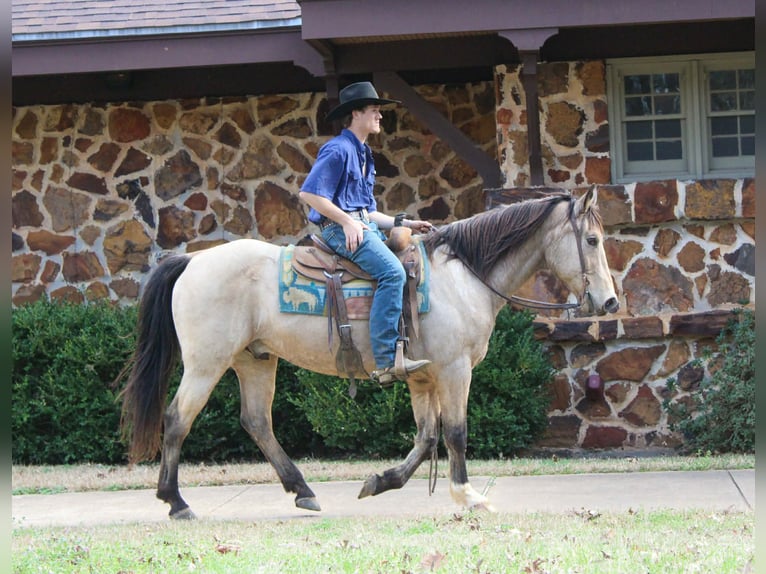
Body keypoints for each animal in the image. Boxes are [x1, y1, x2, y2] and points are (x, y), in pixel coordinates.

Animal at [119, 187, 619, 519]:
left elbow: (426, 437)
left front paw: (380, 482)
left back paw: (301, 490)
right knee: (176, 420)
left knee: (257, 422)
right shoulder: (455, 371)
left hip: (255, 360)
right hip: (206, 364)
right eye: (592, 241)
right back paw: (176, 501)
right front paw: (467, 495)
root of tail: (193, 260)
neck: (463, 276)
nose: (611, 303)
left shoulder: (423, 376)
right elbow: (455, 434)